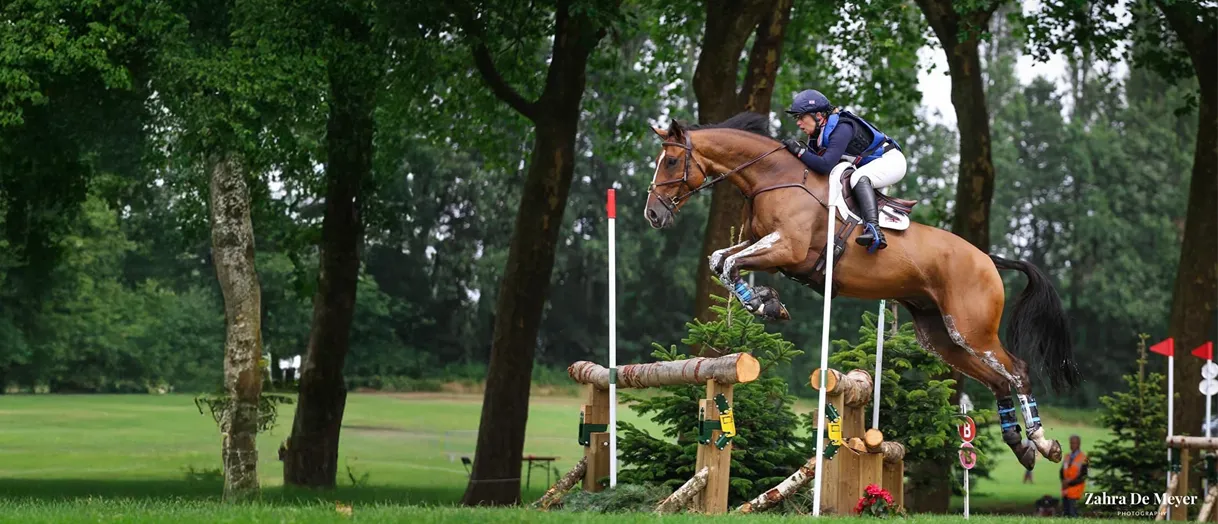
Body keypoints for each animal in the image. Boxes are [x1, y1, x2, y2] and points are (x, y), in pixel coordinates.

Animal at [643, 112, 1080, 470]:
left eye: (670, 161)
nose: (653, 214)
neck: (773, 177)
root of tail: (987, 259)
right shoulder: (769, 247)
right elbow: (720, 261)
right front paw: (768, 302)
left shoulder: (787, 249)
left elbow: (729, 264)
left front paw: (764, 305)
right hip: (941, 334)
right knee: (998, 381)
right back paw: (1020, 446)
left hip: (973, 329)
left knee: (1017, 371)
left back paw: (1044, 443)